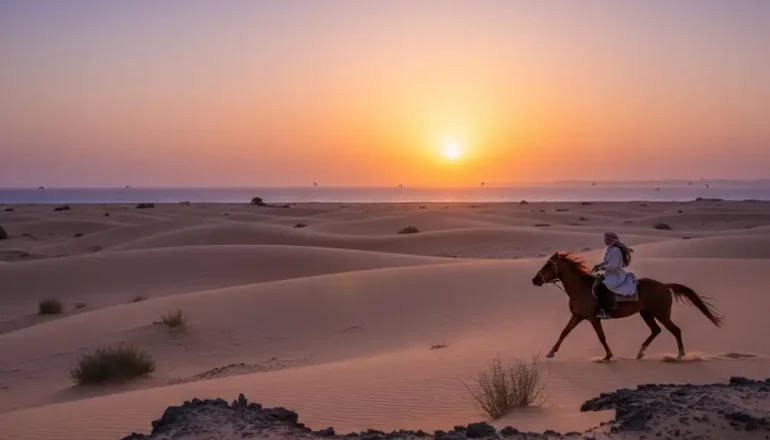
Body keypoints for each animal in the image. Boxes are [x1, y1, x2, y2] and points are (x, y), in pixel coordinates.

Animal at [531, 252, 722, 361]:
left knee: (675, 330)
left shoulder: (593, 318)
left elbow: (601, 337)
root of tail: (665, 285)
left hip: (661, 313)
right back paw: (640, 353)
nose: (535, 280)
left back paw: (680, 355)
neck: (580, 287)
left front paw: (608, 356)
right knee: (656, 330)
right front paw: (551, 353)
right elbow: (564, 332)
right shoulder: (577, 316)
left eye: (548, 265)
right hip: (646, 313)